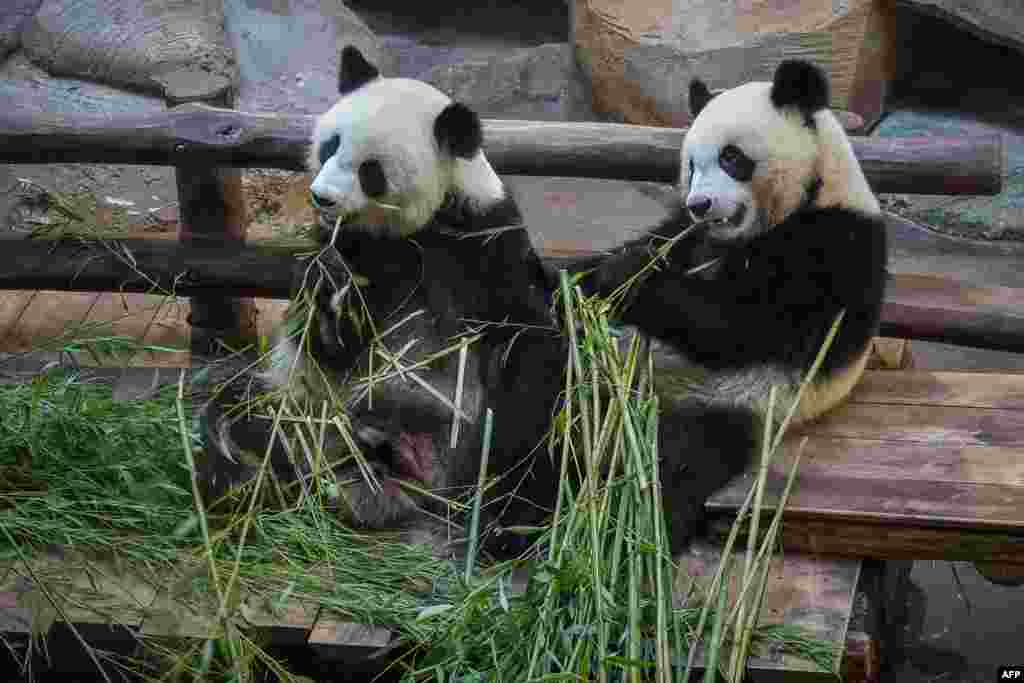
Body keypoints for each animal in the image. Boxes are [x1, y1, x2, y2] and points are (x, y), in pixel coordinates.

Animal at [577, 60, 888, 540]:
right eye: (691, 164)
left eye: (731, 158)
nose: (700, 204)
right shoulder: (686, 236)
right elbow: (650, 245)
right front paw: (579, 278)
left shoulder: (835, 246)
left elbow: (744, 329)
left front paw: (630, 276)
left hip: (729, 400)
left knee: (674, 461)